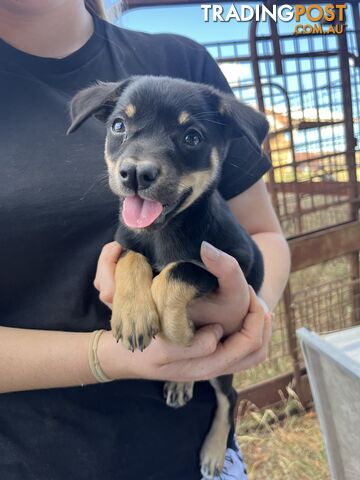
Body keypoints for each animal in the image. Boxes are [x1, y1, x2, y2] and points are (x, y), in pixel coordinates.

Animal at [67, 77, 268, 478]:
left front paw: (177, 329)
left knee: (229, 396)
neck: (163, 233)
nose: (135, 174)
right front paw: (133, 314)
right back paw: (179, 381)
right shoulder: (123, 241)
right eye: (118, 126)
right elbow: (132, 260)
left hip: (224, 367)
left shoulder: (237, 263)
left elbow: (178, 270)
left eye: (192, 137)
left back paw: (213, 450)